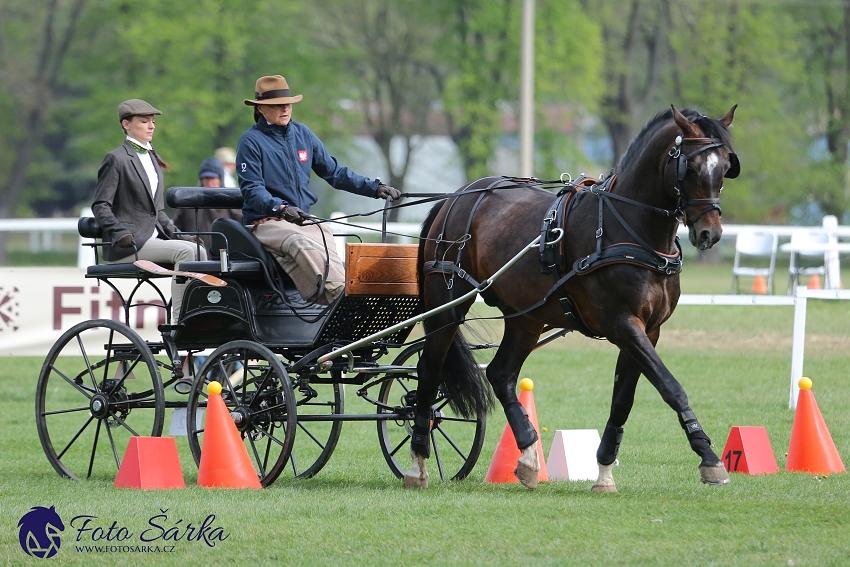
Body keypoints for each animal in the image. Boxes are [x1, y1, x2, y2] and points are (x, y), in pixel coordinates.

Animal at [404, 106, 736, 492]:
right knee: (429, 371)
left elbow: (623, 399)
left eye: (725, 167)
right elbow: (670, 386)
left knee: (501, 374)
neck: (630, 230)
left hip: (526, 317)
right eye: (691, 167)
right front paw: (709, 457)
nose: (710, 233)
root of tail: (457, 196)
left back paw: (529, 456)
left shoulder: (648, 330)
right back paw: (417, 463)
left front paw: (604, 471)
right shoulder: (623, 324)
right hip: (447, 306)